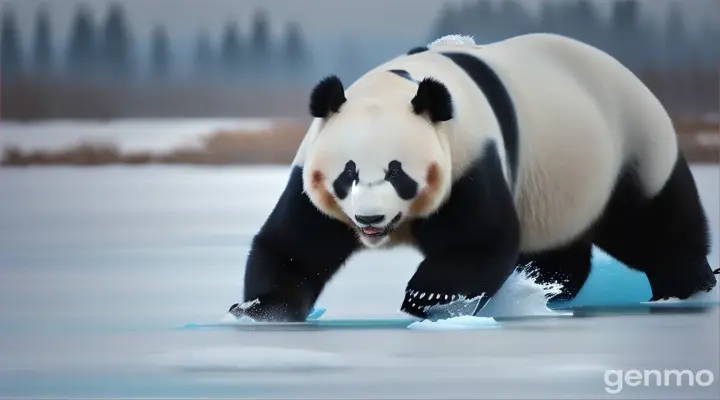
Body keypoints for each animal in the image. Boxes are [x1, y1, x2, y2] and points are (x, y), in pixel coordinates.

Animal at [229, 32, 716, 324]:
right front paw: (259, 308)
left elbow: (480, 239)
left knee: (654, 224)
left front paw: (427, 298)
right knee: (558, 249)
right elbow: (295, 244)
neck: (396, 88)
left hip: (630, 146)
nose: (369, 220)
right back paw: (549, 289)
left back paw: (686, 287)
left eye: (396, 171)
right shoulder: (314, 181)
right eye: (346, 174)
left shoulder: (471, 154)